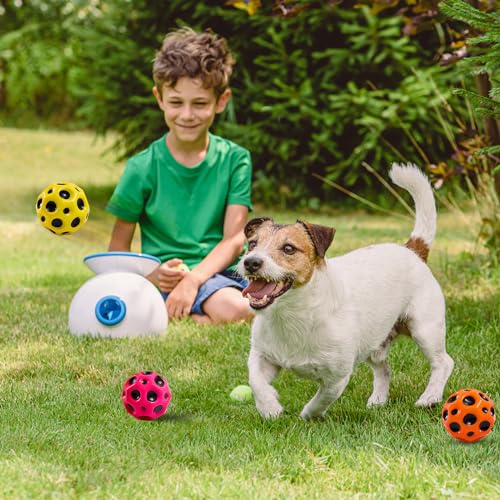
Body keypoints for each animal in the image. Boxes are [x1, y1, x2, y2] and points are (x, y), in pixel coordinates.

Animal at [238, 163, 454, 418]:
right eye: (252, 244)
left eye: (288, 248)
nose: (251, 262)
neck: (292, 314)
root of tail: (411, 249)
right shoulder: (261, 356)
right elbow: (256, 381)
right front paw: (270, 407)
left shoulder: (337, 376)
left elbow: (321, 400)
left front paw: (307, 417)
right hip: (375, 343)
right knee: (384, 370)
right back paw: (378, 401)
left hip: (425, 329)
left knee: (443, 362)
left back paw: (430, 397)